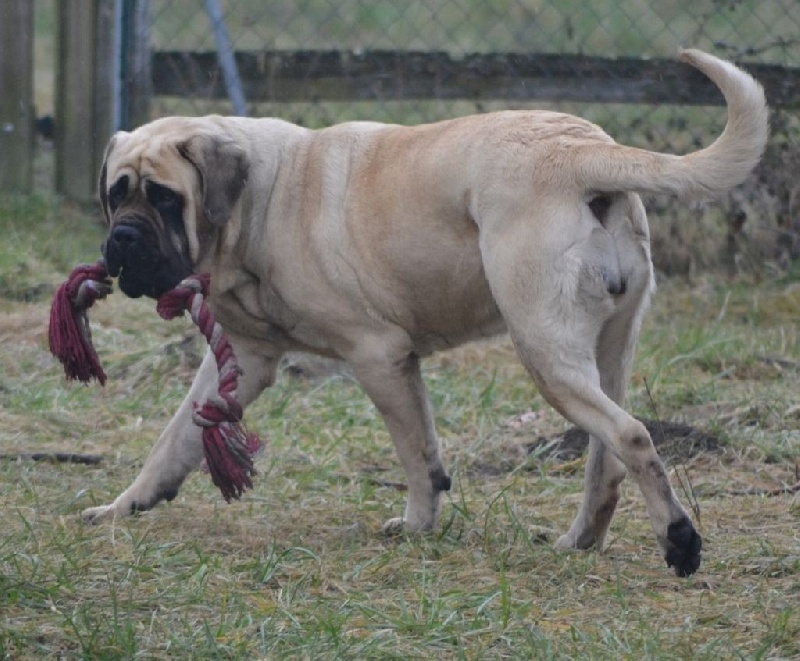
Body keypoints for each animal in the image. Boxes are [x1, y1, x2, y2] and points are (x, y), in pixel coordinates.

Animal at [83, 49, 768, 576]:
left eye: (164, 198)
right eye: (117, 193)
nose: (122, 240)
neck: (260, 200)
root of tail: (583, 151)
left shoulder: (380, 356)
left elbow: (417, 455)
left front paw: (417, 524)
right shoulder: (245, 360)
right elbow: (175, 437)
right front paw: (126, 505)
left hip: (544, 351)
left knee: (630, 435)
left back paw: (680, 542)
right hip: (607, 351)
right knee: (609, 458)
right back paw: (581, 542)